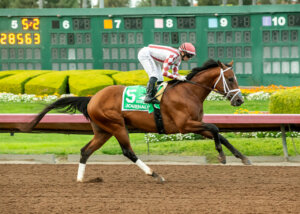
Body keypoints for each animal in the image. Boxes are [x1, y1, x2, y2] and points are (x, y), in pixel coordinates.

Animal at [24, 59, 252, 183]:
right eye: (230, 79)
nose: (239, 100)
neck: (188, 92)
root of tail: (92, 98)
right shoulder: (184, 125)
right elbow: (215, 127)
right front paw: (222, 156)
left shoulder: (195, 126)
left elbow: (218, 133)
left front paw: (242, 158)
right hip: (117, 126)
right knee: (128, 152)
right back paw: (155, 174)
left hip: (103, 131)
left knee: (85, 151)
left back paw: (81, 179)